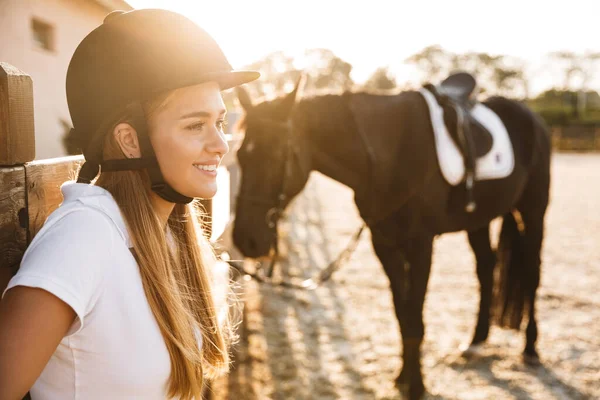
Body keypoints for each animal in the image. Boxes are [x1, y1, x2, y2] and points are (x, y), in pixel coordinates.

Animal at [232, 76, 552, 398]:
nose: (246, 239)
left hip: (533, 212)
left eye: (276, 155)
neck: (389, 154)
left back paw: (531, 348)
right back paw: (476, 341)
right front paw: (403, 377)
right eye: (240, 156)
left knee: (532, 271)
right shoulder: (383, 243)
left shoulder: (420, 245)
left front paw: (416, 385)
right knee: (487, 268)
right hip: (479, 221)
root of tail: (533, 118)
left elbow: (415, 317)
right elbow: (402, 315)